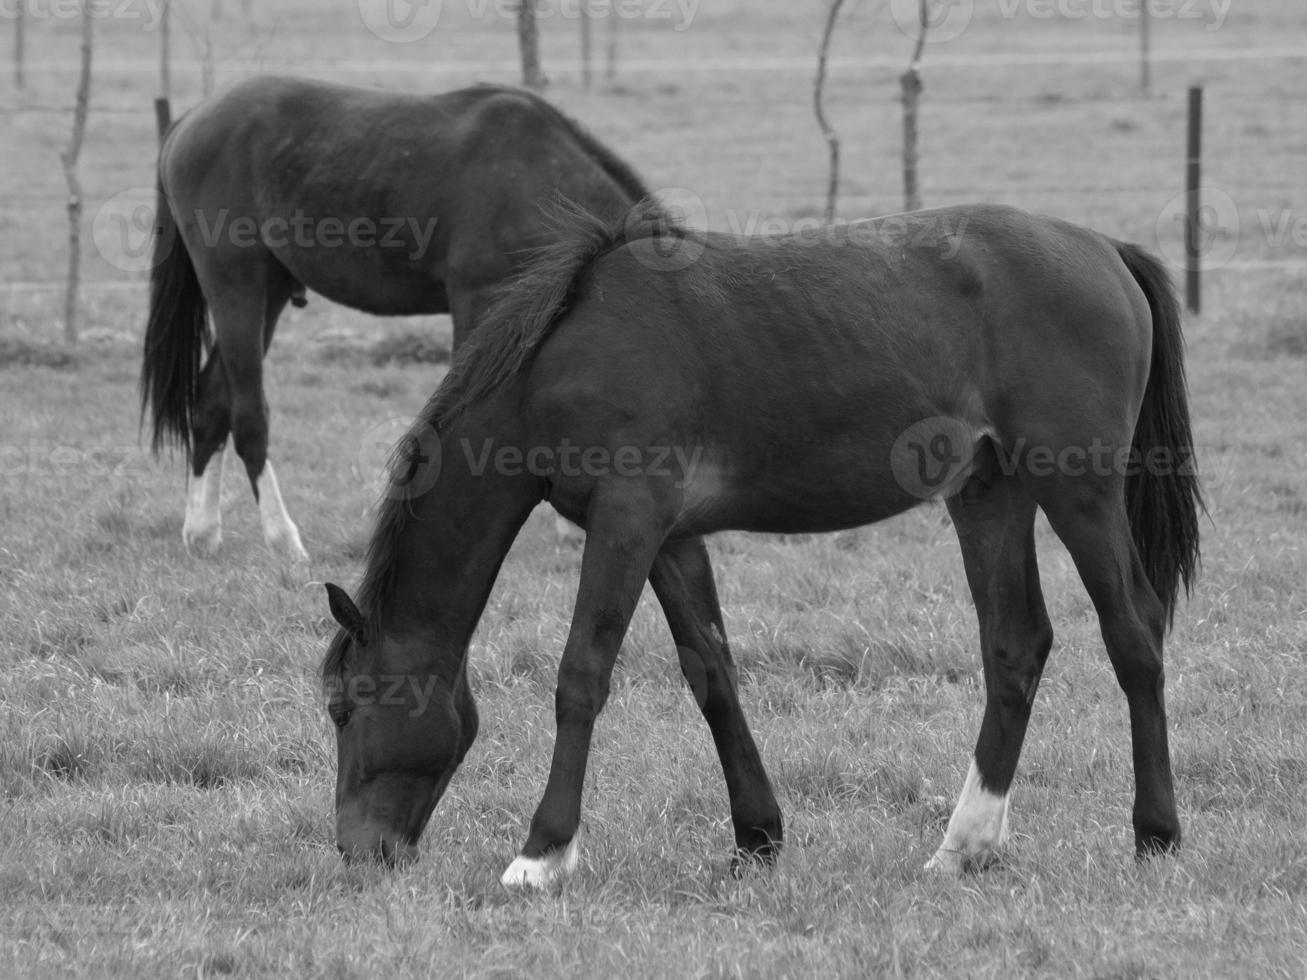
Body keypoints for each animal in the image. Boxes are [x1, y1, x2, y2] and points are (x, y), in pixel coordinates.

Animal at [139, 75, 648, 564]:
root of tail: (191, 121)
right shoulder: (478, 302)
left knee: (211, 402)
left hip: (270, 292)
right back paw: (283, 540)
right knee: (247, 416)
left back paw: (202, 532)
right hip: (236, 289)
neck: (536, 176)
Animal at [321, 203, 1197, 888]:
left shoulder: (627, 518)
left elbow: (581, 675)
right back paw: (964, 847)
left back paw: (1155, 834)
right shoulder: (671, 537)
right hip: (989, 494)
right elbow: (711, 674)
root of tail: (1103, 248)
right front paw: (756, 837)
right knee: (1014, 647)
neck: (563, 356)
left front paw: (541, 855)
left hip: (1077, 490)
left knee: (1133, 634)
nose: (358, 853)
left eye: (344, 705)